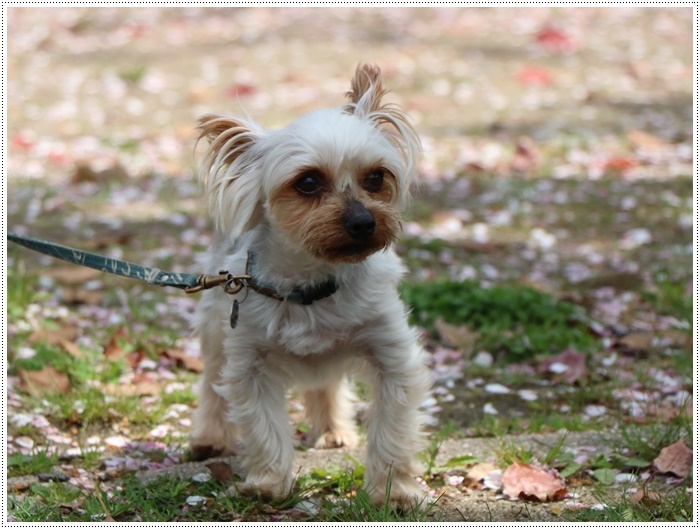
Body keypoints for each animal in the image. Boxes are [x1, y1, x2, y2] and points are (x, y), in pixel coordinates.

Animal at [190, 63, 432, 504]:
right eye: (307, 182)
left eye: (376, 177)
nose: (364, 222)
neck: (314, 282)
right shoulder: (249, 362)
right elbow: (263, 427)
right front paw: (269, 483)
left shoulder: (393, 357)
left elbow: (394, 427)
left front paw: (394, 491)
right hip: (215, 327)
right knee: (213, 385)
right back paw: (209, 438)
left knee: (326, 381)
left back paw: (334, 431)